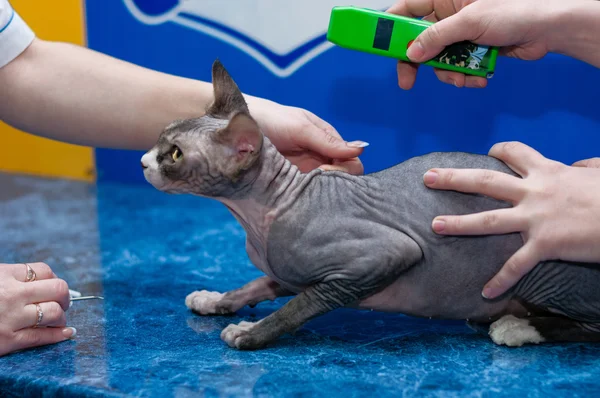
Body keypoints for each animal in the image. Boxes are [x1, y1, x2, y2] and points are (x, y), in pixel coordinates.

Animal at [139, 60, 600, 350]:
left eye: (175, 154)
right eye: (162, 136)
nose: (143, 161)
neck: (262, 217)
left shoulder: (381, 257)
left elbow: (299, 305)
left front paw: (251, 333)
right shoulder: (288, 272)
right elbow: (258, 283)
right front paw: (216, 299)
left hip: (539, 269)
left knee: (592, 324)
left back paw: (516, 327)